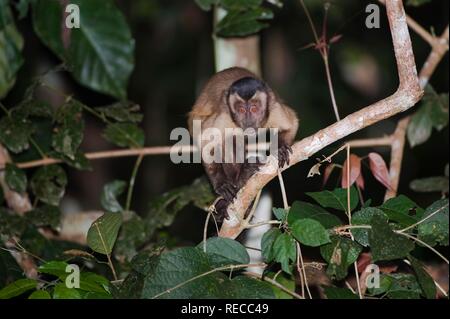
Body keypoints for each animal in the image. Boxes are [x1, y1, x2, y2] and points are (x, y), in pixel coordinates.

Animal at [187, 67, 298, 222]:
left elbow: (291, 125)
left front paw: (280, 148)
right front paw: (221, 184)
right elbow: (207, 143)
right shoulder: (225, 116)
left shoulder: (273, 108)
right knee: (229, 138)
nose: (248, 121)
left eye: (254, 109)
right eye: (241, 110)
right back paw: (240, 180)